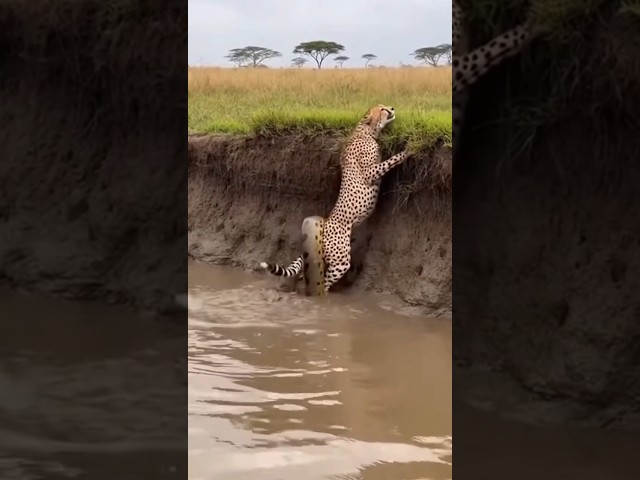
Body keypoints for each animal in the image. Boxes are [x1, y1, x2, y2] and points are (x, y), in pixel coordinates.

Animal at [260, 105, 410, 295]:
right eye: (382, 109)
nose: (391, 108)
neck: (364, 131)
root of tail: (323, 224)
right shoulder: (369, 173)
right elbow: (389, 161)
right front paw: (407, 152)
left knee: (306, 275)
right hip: (341, 260)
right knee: (324, 282)